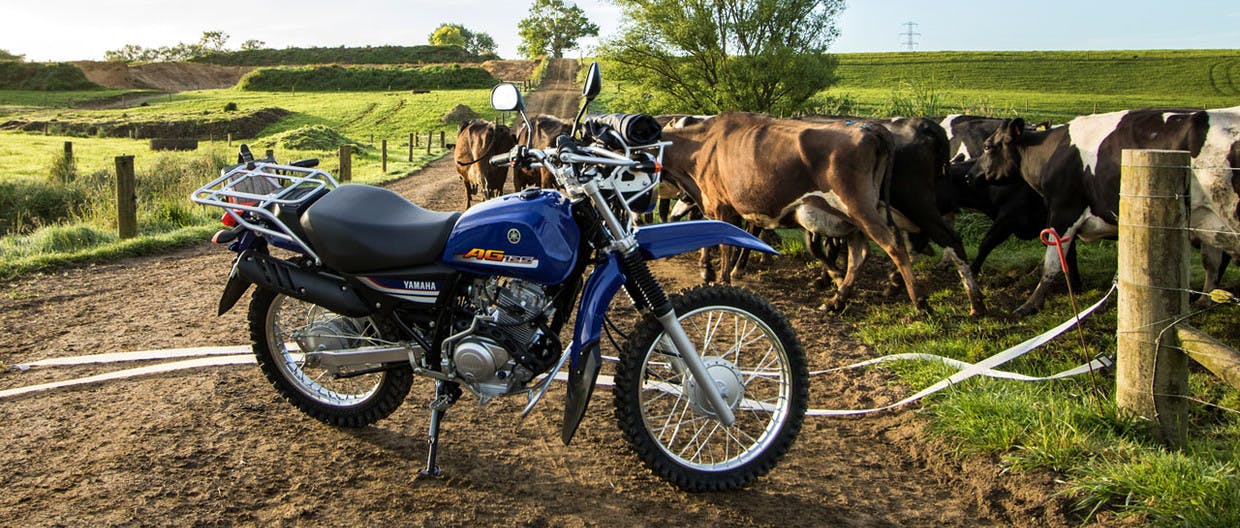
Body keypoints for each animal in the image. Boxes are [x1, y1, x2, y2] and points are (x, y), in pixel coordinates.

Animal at [664, 109, 927, 311]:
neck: (703, 145)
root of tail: (870, 128)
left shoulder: (721, 206)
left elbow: (724, 246)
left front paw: (721, 280)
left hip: (860, 208)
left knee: (894, 245)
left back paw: (920, 303)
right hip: (852, 218)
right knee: (859, 254)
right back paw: (836, 300)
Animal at [972, 105, 1235, 313]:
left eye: (988, 146)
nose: (969, 172)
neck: (1051, 152)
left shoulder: (1063, 211)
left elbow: (1052, 262)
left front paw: (1031, 304)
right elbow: (1067, 256)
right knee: (1214, 262)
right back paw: (1204, 300)